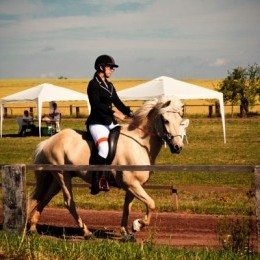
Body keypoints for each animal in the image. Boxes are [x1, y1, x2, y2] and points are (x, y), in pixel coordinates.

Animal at [27, 96, 185, 240]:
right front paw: (137, 225)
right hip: (62, 175)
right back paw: (86, 232)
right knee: (68, 202)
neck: (140, 144)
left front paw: (126, 232)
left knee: (43, 199)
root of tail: (48, 141)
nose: (178, 147)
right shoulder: (132, 184)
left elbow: (127, 208)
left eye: (180, 121)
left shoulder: (132, 186)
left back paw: (32, 228)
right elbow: (151, 204)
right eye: (166, 120)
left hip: (56, 179)